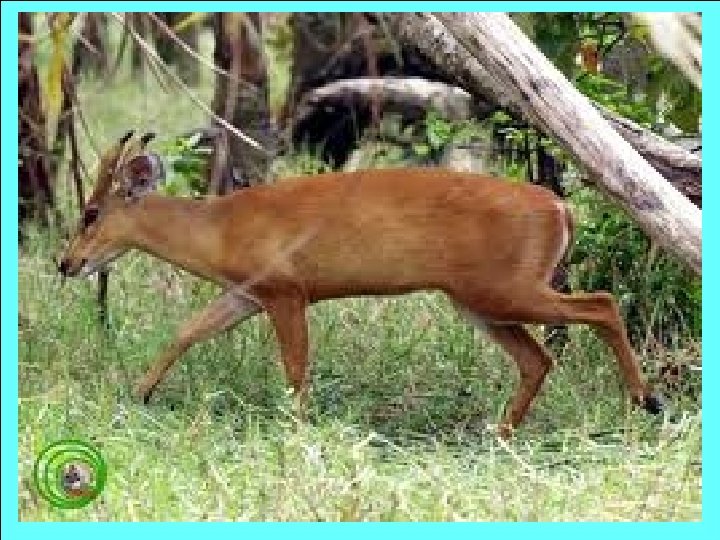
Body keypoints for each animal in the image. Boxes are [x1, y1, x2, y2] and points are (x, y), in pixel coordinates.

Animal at [58, 131, 663, 439]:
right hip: (479, 303)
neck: (221, 225)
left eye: (90, 212)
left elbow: (295, 370)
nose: (67, 263)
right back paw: (500, 434)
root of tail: (559, 207)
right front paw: (139, 394)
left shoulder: (286, 293)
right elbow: (187, 331)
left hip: (504, 290)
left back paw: (646, 400)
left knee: (602, 305)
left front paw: (298, 431)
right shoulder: (246, 295)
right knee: (539, 358)